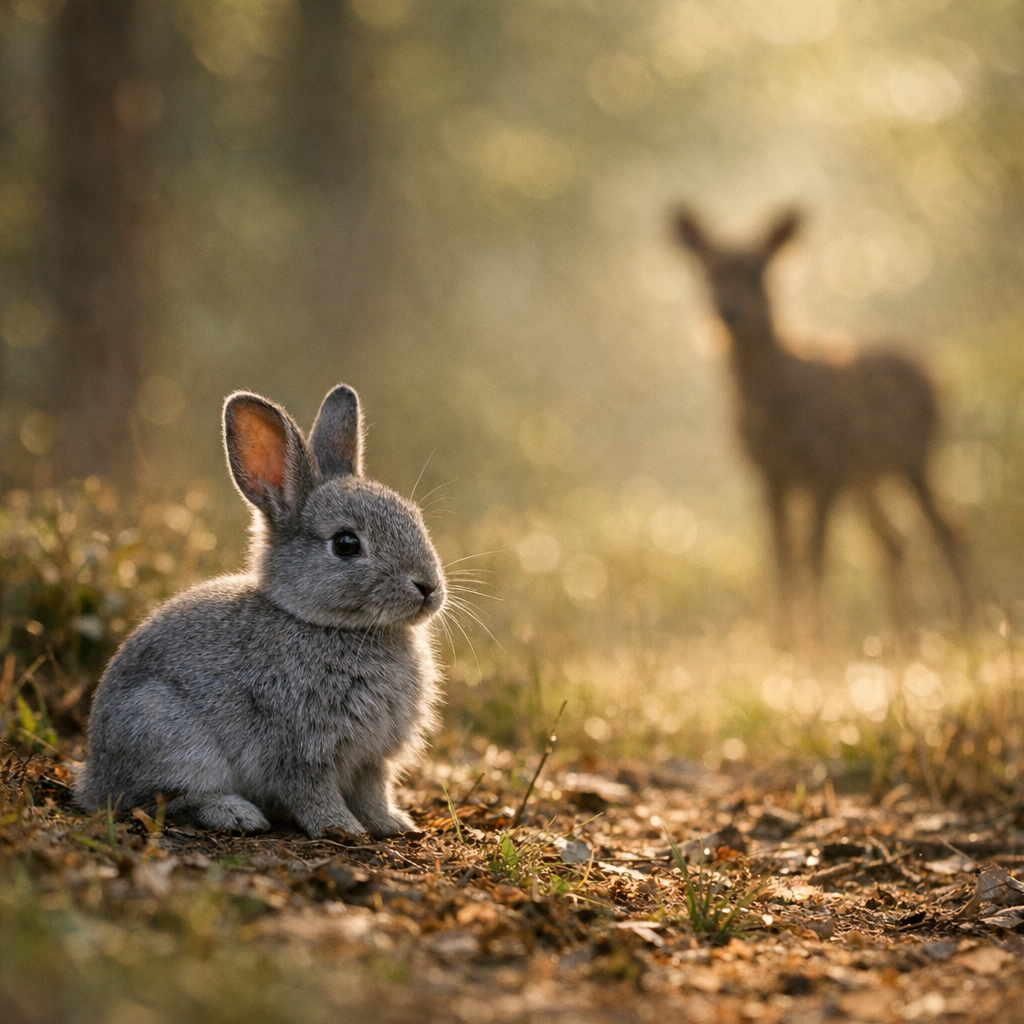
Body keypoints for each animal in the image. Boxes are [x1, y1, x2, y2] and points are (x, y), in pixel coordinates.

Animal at [75, 384, 446, 839]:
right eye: (346, 544)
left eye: (415, 518)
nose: (428, 587)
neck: (324, 624)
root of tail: (93, 781)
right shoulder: (298, 746)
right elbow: (311, 790)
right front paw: (341, 828)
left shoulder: (370, 759)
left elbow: (373, 791)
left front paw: (393, 824)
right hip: (166, 734)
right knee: (165, 799)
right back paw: (235, 814)